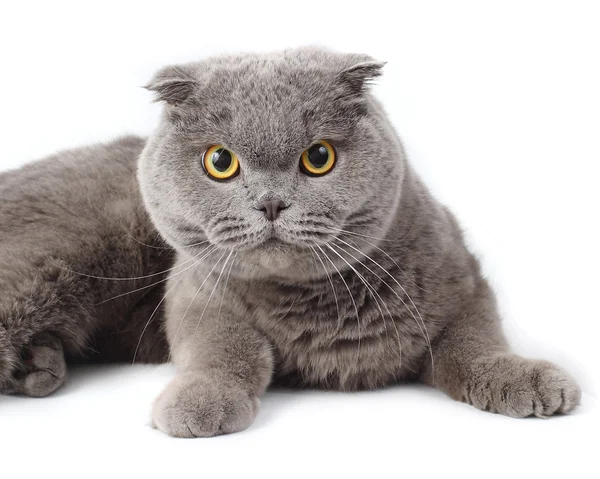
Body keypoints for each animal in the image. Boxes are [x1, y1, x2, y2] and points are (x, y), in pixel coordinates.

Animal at [0, 47, 580, 436]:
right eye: (220, 161)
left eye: (318, 157)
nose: (271, 203)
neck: (313, 304)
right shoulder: (196, 292)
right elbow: (225, 347)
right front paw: (200, 399)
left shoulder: (462, 282)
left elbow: (473, 343)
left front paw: (527, 379)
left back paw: (39, 367)